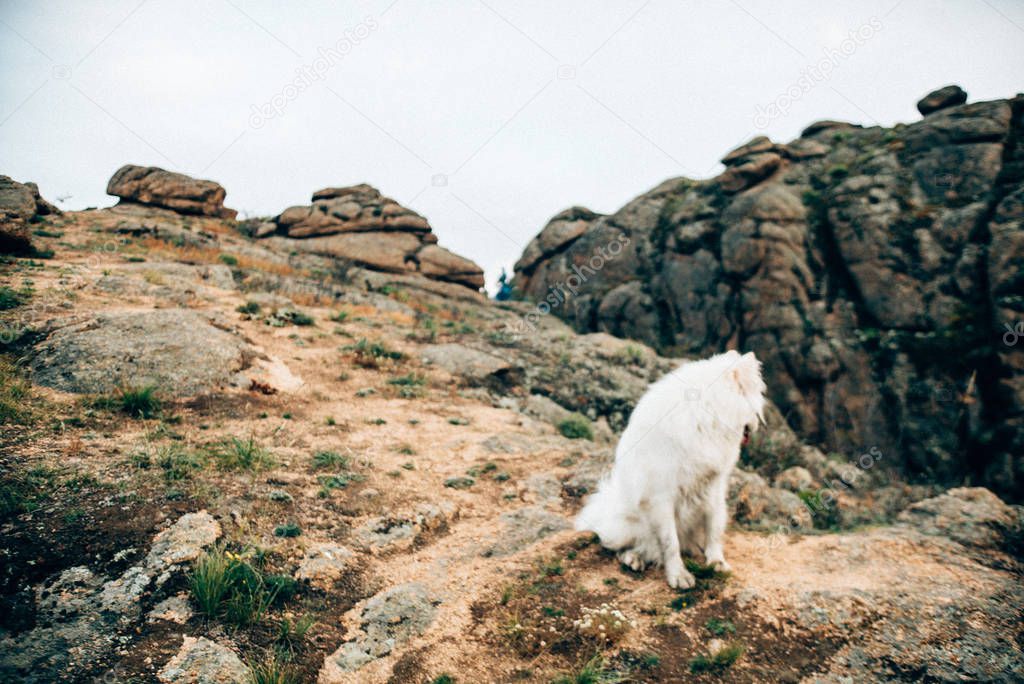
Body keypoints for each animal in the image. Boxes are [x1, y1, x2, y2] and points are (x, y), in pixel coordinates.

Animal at [577, 350, 761, 589]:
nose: (756, 425)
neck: (704, 416)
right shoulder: (661, 496)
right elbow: (670, 542)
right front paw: (679, 575)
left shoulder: (713, 487)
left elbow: (713, 529)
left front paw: (716, 561)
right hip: (627, 525)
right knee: (625, 546)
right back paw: (633, 558)